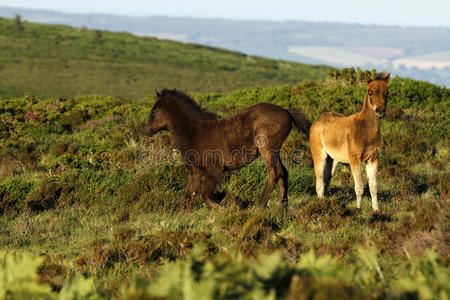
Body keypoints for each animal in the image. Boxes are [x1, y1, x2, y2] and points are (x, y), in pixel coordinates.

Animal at [143, 89, 310, 211]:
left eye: (153, 111)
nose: (146, 130)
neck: (195, 132)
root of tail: (286, 112)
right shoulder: (195, 172)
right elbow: (188, 197)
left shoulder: (214, 171)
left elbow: (205, 196)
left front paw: (224, 209)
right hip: (275, 151)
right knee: (283, 172)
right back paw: (283, 207)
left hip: (267, 148)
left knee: (274, 173)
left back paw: (260, 206)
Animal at [310, 72, 390, 212]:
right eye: (369, 92)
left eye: (387, 92)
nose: (380, 111)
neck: (367, 130)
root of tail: (317, 120)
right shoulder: (354, 160)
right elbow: (359, 187)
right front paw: (358, 209)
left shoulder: (373, 159)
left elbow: (373, 187)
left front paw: (376, 210)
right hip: (319, 156)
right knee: (319, 183)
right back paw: (320, 206)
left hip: (333, 160)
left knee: (326, 180)